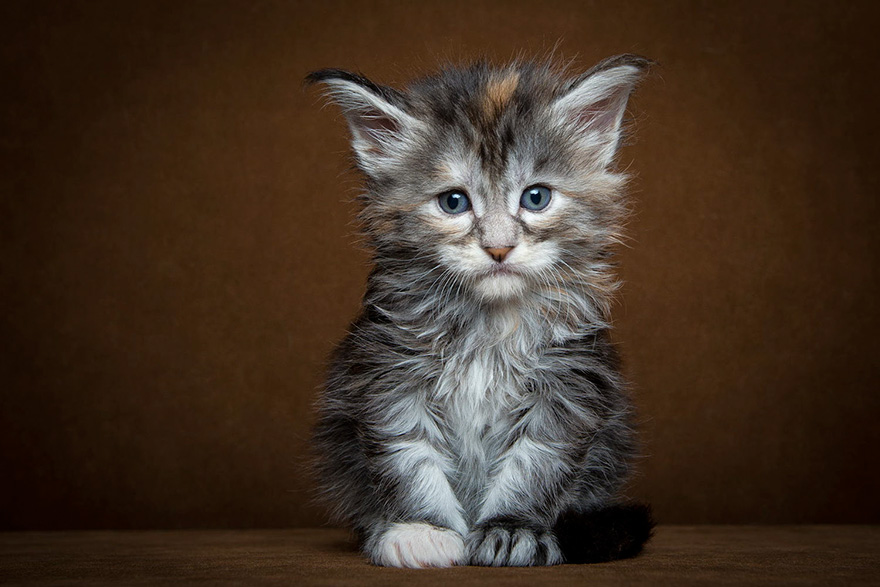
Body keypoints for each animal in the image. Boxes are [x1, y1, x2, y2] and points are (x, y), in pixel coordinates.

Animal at [306, 55, 648, 568]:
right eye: (454, 202)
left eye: (536, 197)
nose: (499, 247)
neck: (489, 325)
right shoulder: (388, 375)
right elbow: (410, 458)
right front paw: (422, 529)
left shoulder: (569, 387)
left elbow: (535, 464)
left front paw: (510, 529)